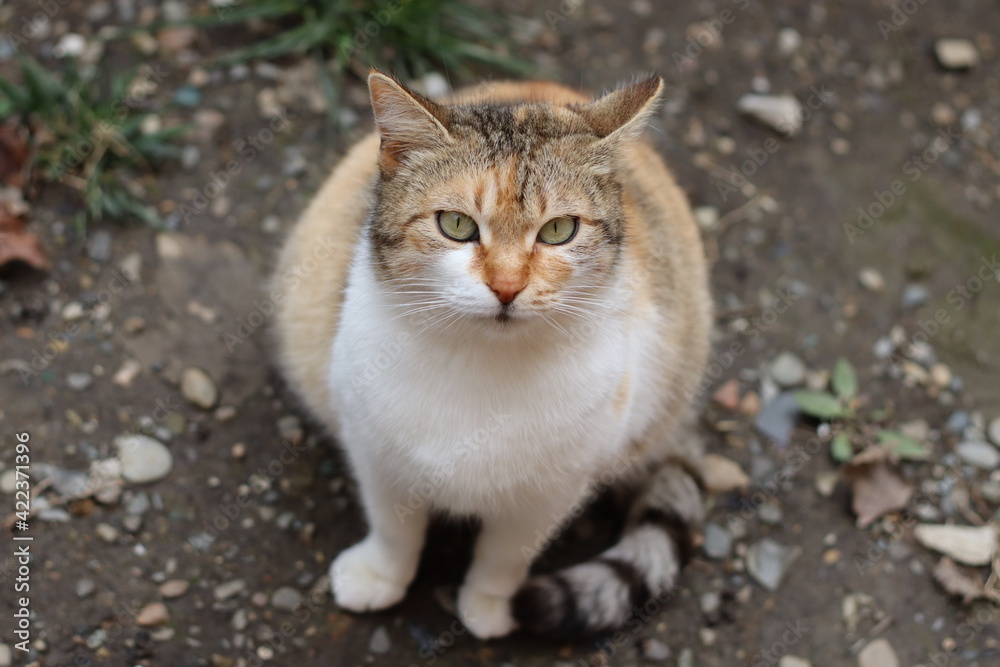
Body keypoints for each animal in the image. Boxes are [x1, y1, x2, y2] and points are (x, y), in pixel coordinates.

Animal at [272, 70, 712, 640]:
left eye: (559, 230)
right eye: (456, 225)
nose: (507, 286)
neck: (481, 364)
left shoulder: (554, 489)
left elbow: (506, 554)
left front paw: (489, 606)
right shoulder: (375, 451)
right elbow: (393, 527)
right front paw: (381, 576)